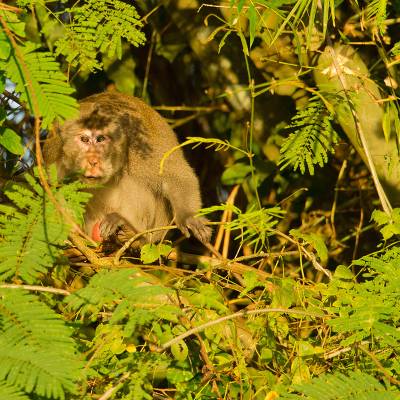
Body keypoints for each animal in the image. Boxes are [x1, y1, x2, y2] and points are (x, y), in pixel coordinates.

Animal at [43, 92, 212, 245]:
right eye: (84, 139)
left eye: (100, 139)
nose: (93, 161)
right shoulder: (55, 152)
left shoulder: (140, 145)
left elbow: (177, 175)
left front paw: (188, 216)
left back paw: (128, 229)